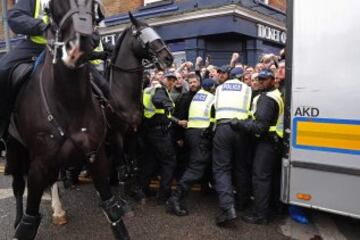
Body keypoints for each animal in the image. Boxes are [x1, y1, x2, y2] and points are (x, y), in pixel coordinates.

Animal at [5, 0, 131, 239]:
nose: (78, 48)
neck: (68, 103)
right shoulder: (38, 165)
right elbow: (29, 222)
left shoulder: (95, 156)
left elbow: (113, 211)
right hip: (15, 148)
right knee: (17, 186)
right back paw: (18, 219)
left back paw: (58, 211)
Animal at [107, 13, 173, 197]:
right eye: (141, 35)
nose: (169, 58)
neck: (121, 94)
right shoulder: (116, 135)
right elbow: (122, 169)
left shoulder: (133, 132)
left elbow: (134, 165)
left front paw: (137, 191)